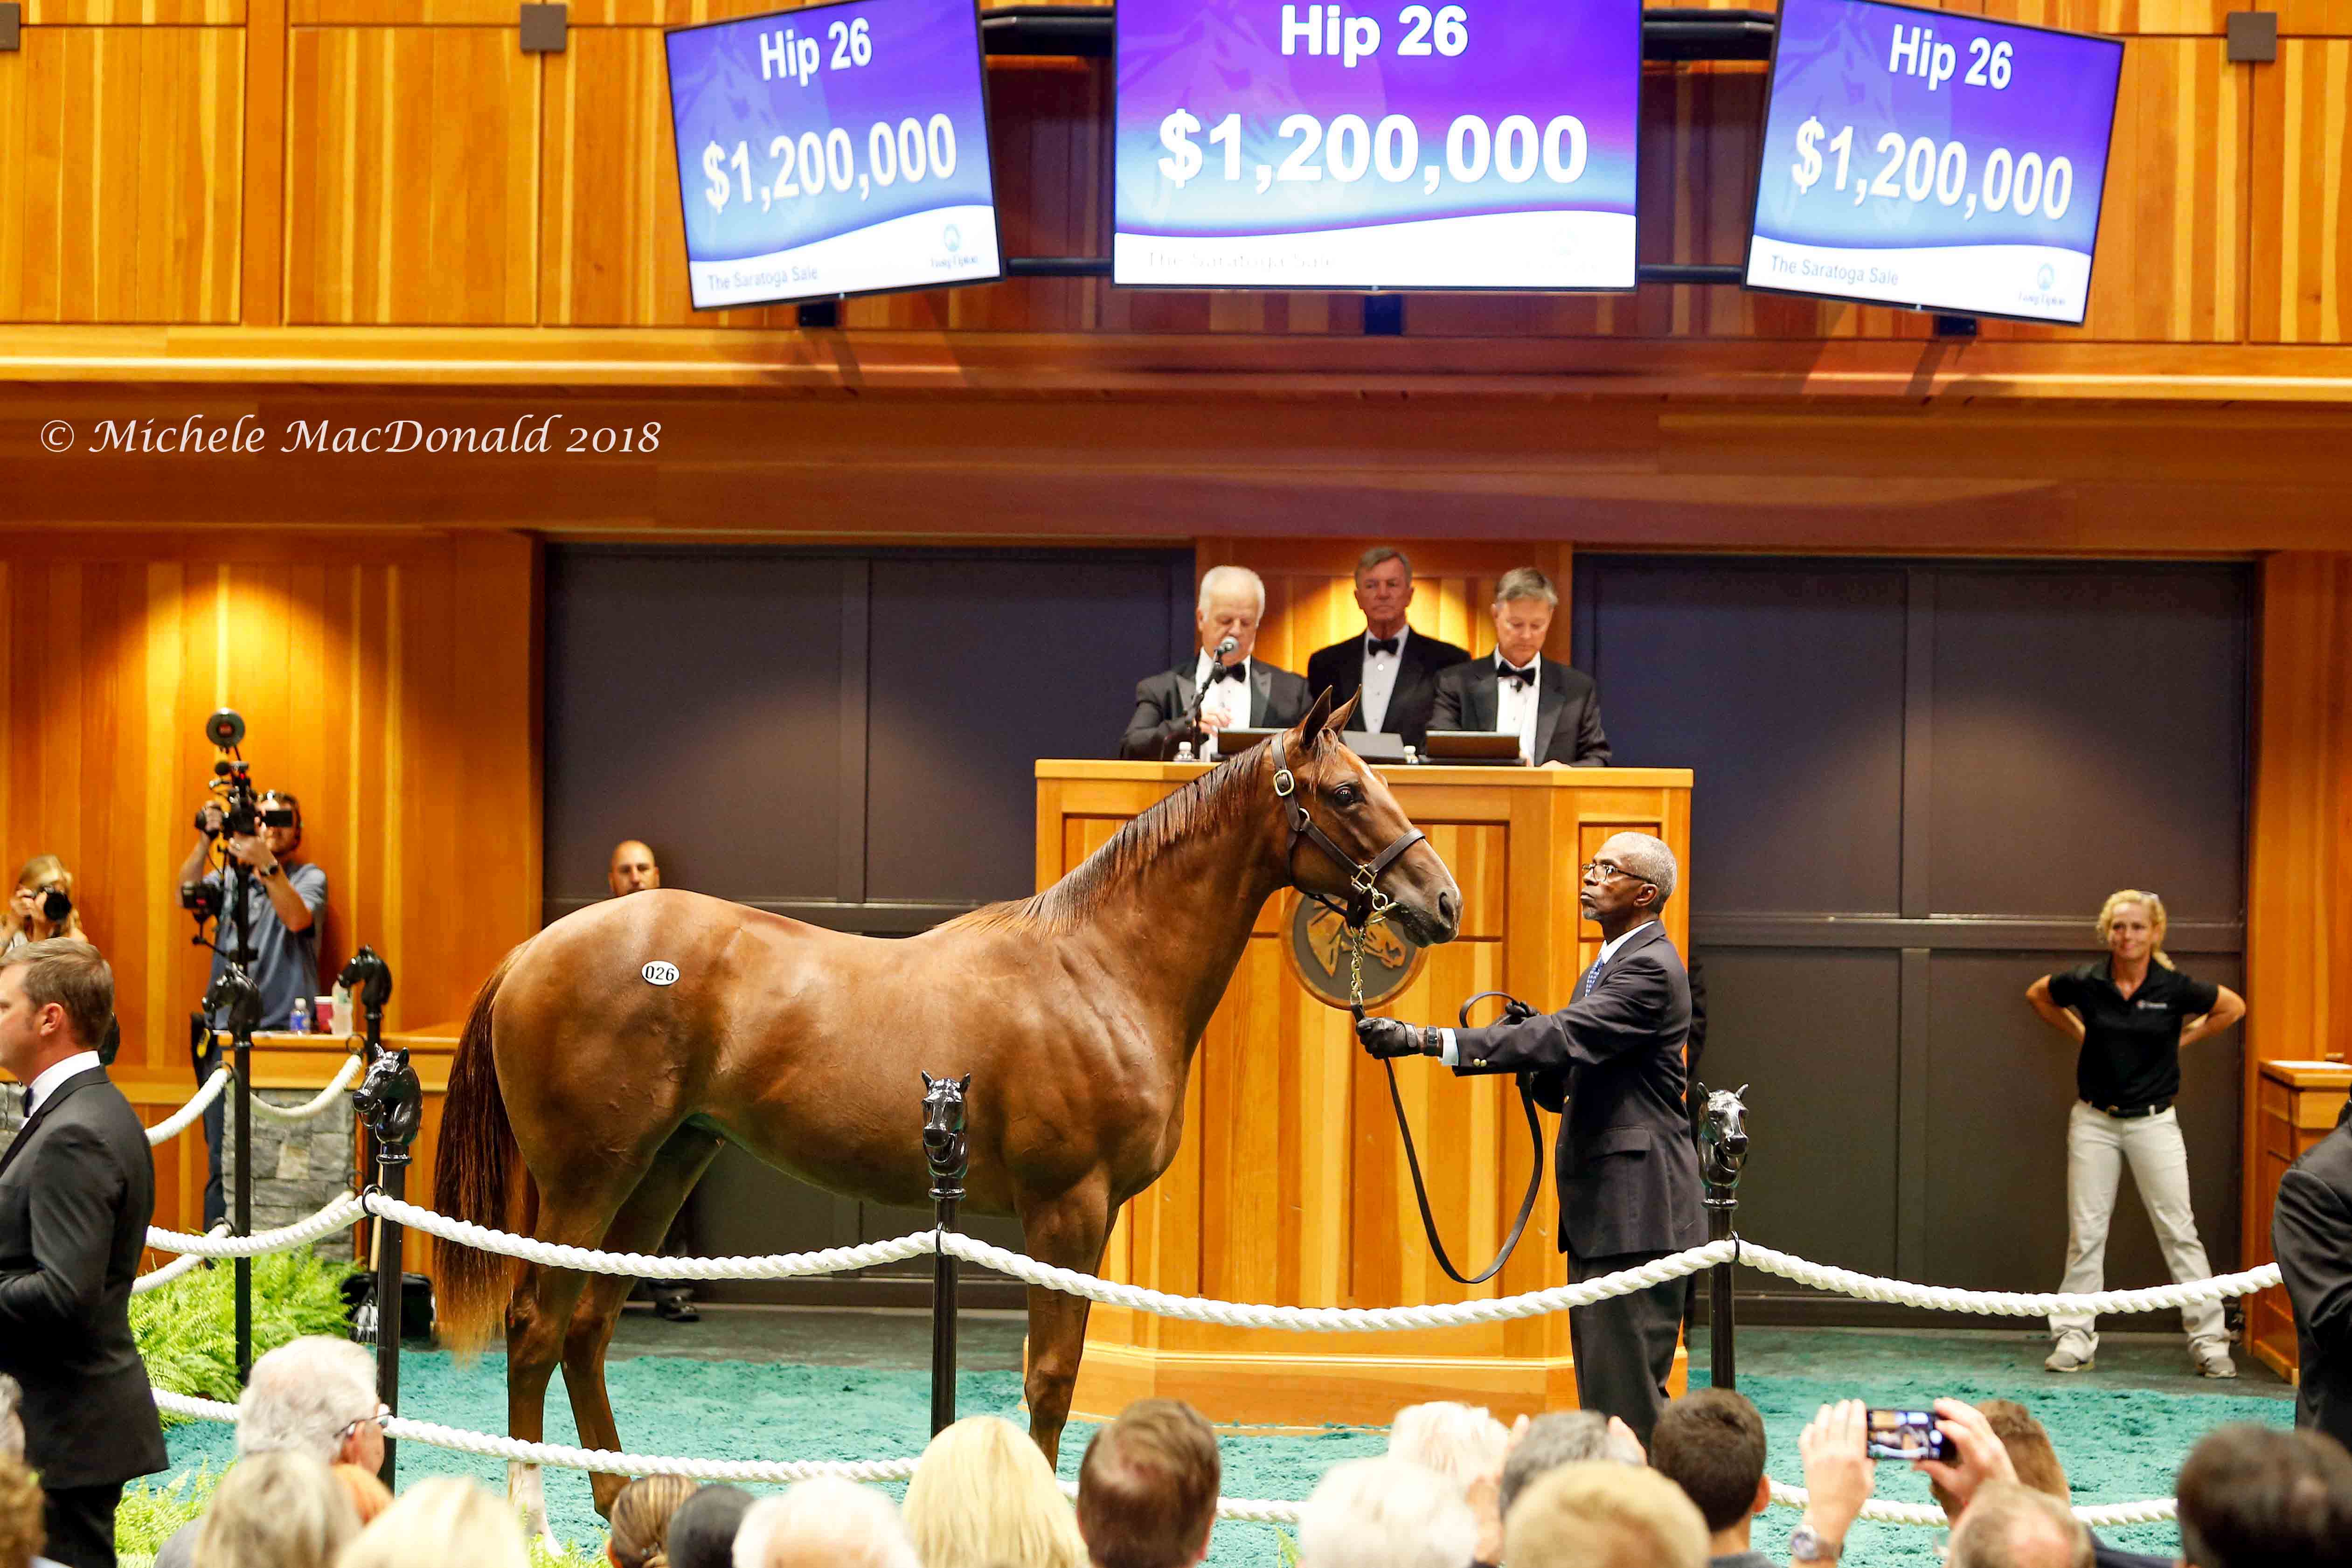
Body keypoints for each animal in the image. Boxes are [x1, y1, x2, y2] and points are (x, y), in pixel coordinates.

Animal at [425, 691, 1449, 1523]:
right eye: (1346, 791)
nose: (1441, 900)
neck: (1099, 969)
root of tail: (532, 951)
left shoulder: (1094, 1216)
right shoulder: (1064, 1208)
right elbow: (1049, 1377)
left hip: (663, 1169)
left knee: (588, 1328)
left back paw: (619, 1498)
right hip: (588, 1180)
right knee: (536, 1325)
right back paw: (531, 1511)